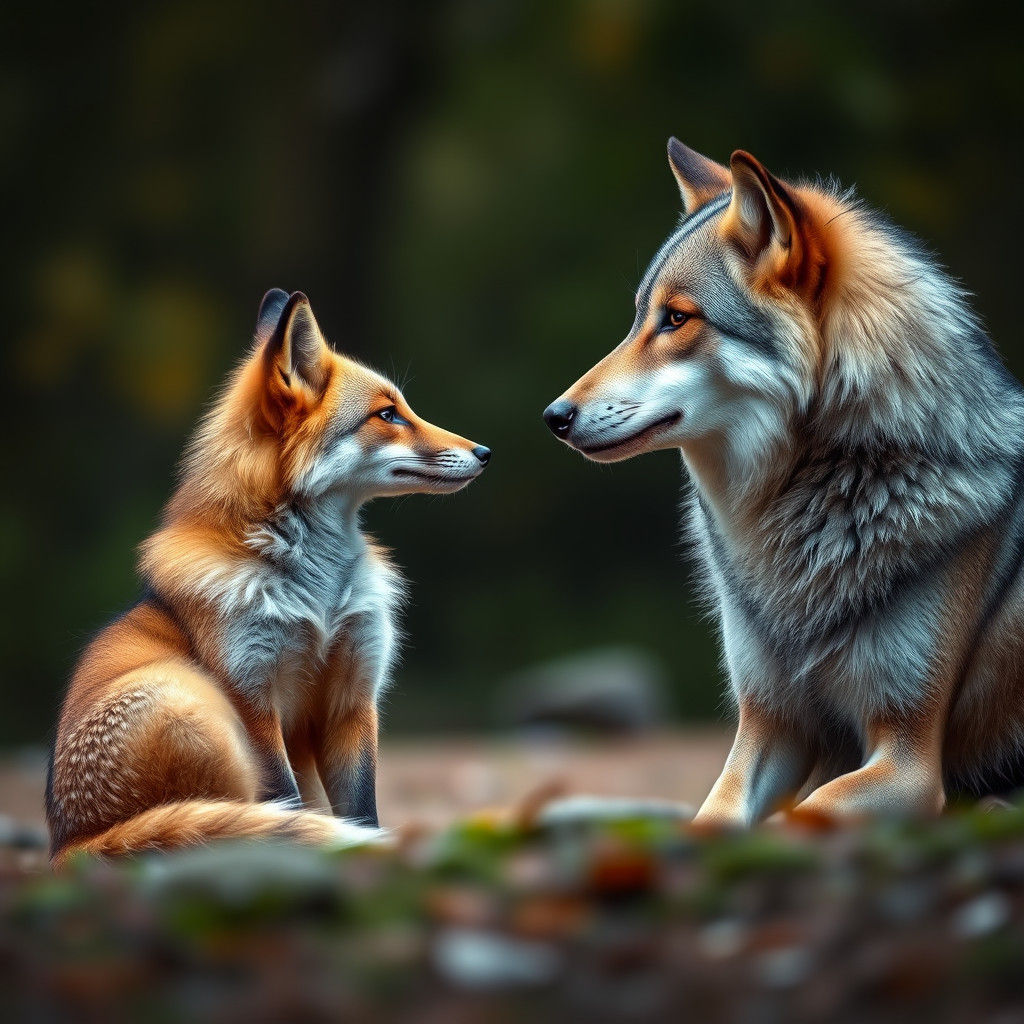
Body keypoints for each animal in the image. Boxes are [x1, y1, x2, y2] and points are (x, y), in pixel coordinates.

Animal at [46, 289, 491, 866]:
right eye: (387, 414)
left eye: (402, 408)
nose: (485, 453)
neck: (319, 599)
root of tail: (69, 843)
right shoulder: (251, 694)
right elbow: (289, 801)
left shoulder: (352, 695)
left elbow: (363, 810)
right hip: (195, 704)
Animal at [544, 138, 1024, 825]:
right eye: (638, 319)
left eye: (676, 319)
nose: (554, 417)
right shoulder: (768, 726)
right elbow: (714, 820)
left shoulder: (907, 756)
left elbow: (806, 815)